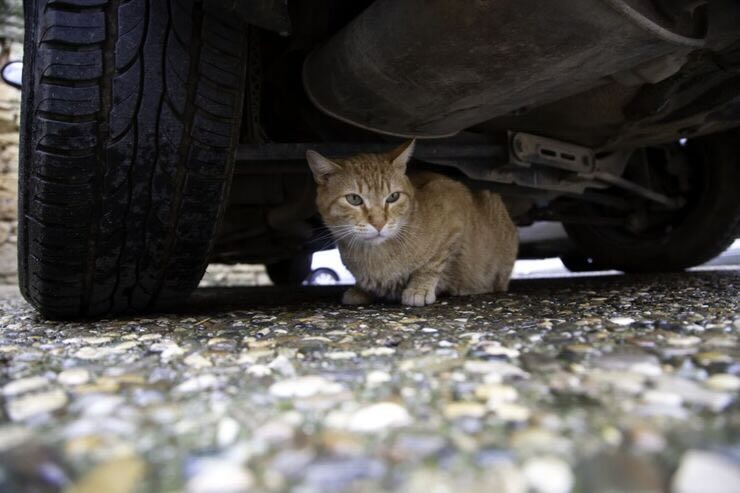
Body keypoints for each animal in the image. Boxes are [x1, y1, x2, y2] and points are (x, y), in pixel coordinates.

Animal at [304, 138, 516, 306]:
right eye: (354, 199)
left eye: (393, 197)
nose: (379, 223)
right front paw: (361, 289)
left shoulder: (453, 205)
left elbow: (432, 263)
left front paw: (419, 288)